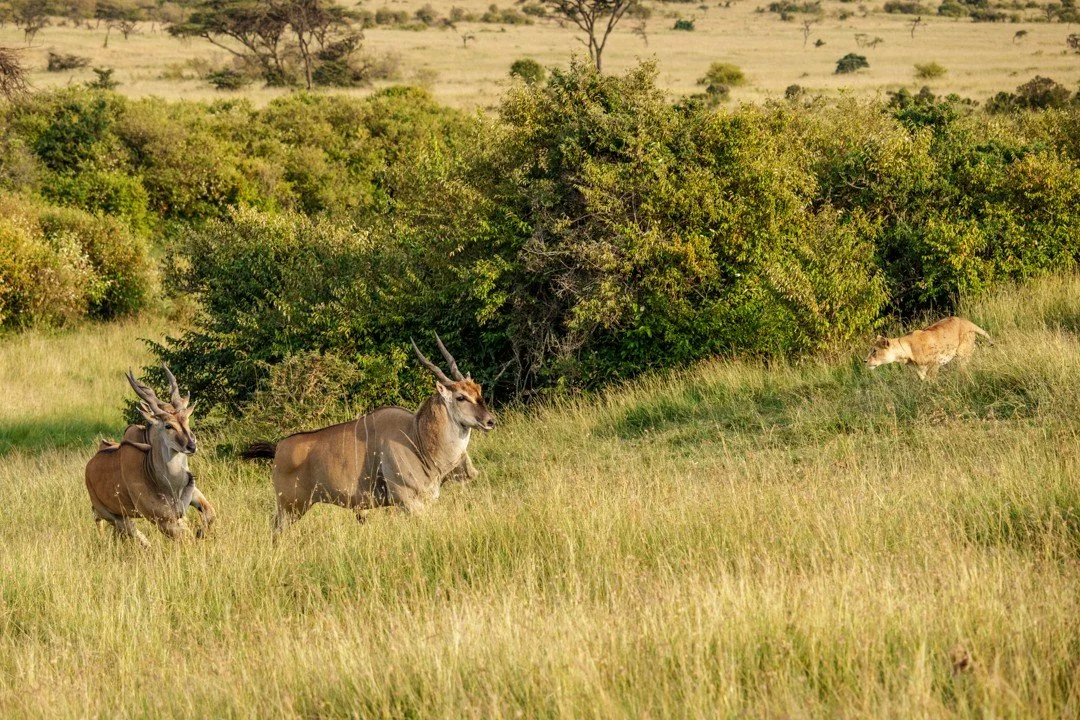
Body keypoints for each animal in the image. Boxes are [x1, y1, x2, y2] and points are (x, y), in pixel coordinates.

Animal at [84, 366, 214, 546]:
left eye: (187, 420)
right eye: (168, 425)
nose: (191, 446)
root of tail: (89, 466)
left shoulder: (191, 497)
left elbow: (209, 514)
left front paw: (200, 532)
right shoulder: (162, 519)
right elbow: (185, 538)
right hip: (114, 516)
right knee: (140, 539)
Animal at [242, 335, 496, 531]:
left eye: (478, 390)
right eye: (461, 397)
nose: (490, 421)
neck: (417, 437)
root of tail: (279, 446)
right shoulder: (408, 501)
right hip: (291, 507)